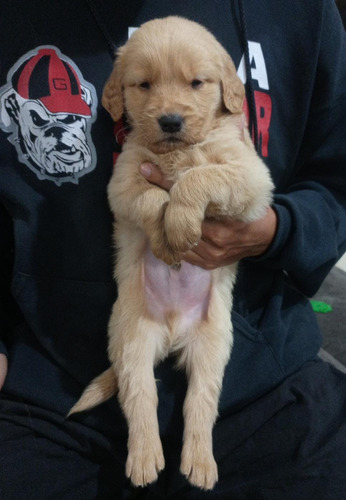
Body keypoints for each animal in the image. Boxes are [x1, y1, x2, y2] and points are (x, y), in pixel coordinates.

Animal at [70, 16, 274, 492]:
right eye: (143, 84)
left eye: (197, 82)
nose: (169, 120)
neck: (178, 151)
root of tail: (172, 335)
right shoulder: (123, 179)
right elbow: (151, 199)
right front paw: (165, 238)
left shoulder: (251, 176)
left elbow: (199, 178)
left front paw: (180, 221)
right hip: (129, 340)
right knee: (141, 399)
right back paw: (145, 458)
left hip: (214, 347)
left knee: (199, 405)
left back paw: (199, 463)